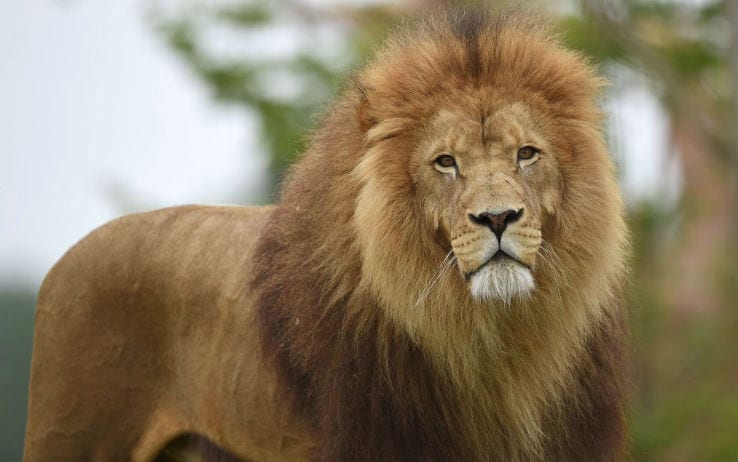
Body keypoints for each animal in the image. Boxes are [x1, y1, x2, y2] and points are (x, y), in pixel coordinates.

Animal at [24, 10, 630, 462]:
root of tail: (65, 260)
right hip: (70, 434)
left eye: (527, 153)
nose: (498, 218)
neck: (495, 342)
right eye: (445, 162)